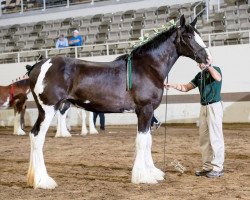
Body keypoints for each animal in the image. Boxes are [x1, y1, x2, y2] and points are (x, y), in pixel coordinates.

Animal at [26, 15, 211, 189]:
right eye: (188, 36)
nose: (207, 59)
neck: (147, 68)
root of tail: (37, 66)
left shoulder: (148, 112)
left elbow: (148, 141)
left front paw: (153, 172)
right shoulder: (145, 110)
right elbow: (142, 141)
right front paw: (143, 177)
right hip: (48, 109)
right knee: (37, 137)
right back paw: (43, 181)